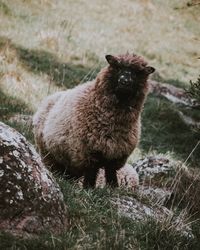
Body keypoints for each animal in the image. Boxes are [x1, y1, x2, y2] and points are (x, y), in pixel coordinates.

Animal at [32, 53, 155, 188]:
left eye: (137, 72)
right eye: (117, 67)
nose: (124, 81)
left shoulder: (116, 155)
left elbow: (111, 174)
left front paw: (113, 188)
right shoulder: (88, 153)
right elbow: (91, 173)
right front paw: (88, 188)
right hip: (49, 153)